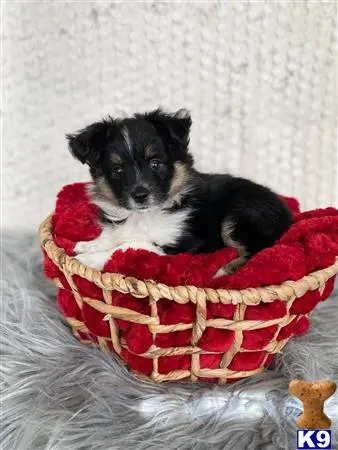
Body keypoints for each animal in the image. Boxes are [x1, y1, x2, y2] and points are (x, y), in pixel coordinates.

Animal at [67, 110, 292, 270]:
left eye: (155, 163)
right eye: (117, 170)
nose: (140, 195)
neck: (143, 216)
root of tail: (287, 213)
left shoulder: (183, 244)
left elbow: (131, 246)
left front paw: (90, 258)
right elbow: (112, 236)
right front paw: (88, 245)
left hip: (240, 215)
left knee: (257, 252)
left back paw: (223, 271)